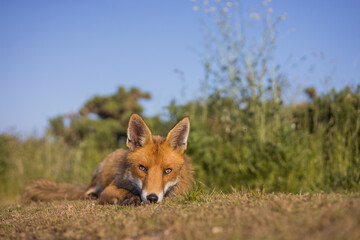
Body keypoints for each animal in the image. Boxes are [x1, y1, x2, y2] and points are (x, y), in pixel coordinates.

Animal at [22, 114, 194, 204]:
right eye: (142, 168)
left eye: (168, 171)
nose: (152, 198)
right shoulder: (110, 188)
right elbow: (120, 191)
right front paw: (130, 197)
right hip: (100, 176)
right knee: (89, 190)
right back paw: (91, 195)